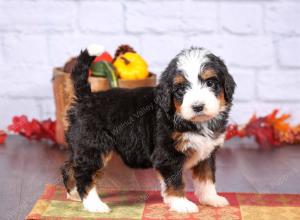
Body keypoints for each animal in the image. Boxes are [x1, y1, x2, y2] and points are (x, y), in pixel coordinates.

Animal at [61, 45, 237, 213]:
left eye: (210, 83)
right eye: (180, 89)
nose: (198, 107)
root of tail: (86, 97)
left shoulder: (206, 153)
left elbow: (206, 178)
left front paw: (211, 199)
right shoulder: (167, 154)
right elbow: (175, 181)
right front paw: (181, 204)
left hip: (83, 145)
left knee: (69, 167)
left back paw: (74, 194)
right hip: (94, 145)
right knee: (84, 173)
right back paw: (94, 205)